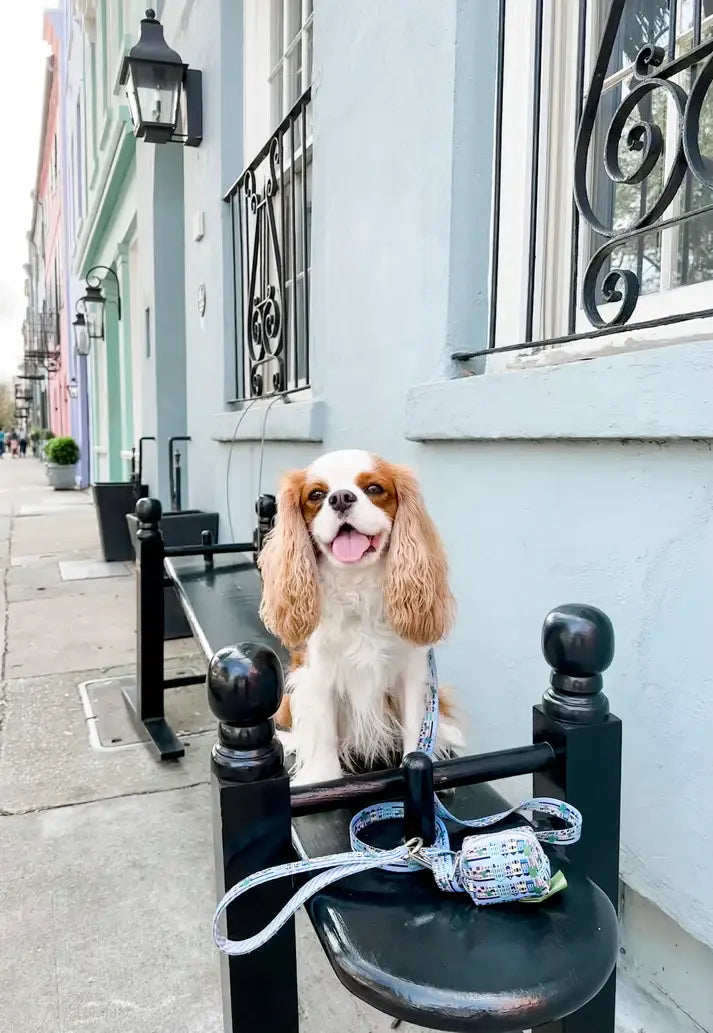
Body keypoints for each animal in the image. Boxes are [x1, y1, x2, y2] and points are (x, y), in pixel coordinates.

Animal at [255, 448, 460, 785]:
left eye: (374, 488)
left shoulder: (413, 672)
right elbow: (324, 730)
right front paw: (324, 777)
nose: (340, 498)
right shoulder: (319, 674)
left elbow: (415, 726)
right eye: (316, 495)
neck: (357, 586)